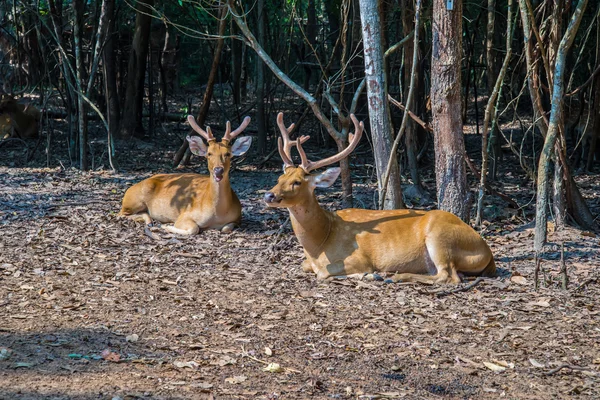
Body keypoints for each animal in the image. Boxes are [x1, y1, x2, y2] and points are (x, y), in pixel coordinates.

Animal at [118, 115, 252, 234]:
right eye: (209, 153)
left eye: (228, 154)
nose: (218, 170)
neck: (217, 214)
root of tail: (129, 189)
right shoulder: (185, 214)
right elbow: (194, 229)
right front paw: (166, 226)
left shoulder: (237, 218)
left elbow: (226, 228)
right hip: (133, 200)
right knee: (120, 214)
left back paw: (150, 221)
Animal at [264, 112, 496, 284]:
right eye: (280, 177)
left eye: (297, 182)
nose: (269, 195)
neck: (320, 242)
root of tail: (487, 252)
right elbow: (306, 267)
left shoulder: (358, 257)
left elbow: (324, 273)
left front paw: (368, 274)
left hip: (440, 237)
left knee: (448, 276)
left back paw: (393, 276)